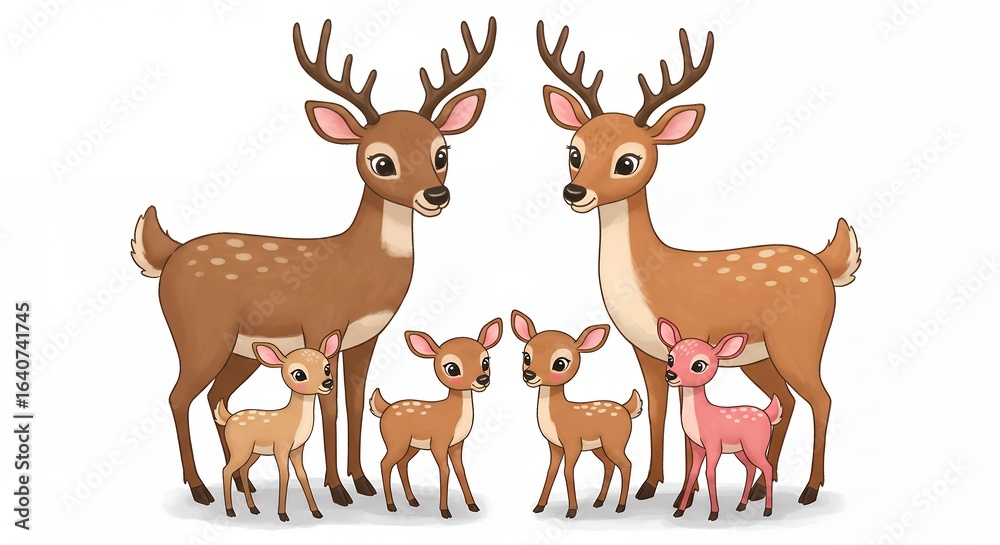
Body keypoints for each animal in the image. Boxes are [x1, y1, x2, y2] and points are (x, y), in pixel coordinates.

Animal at [215, 330, 340, 521]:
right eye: (299, 374)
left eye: (326, 368)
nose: (328, 383)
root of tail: (228, 418)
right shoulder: (281, 446)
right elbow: (284, 475)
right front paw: (282, 514)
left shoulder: (297, 449)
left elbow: (302, 475)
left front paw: (316, 512)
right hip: (239, 448)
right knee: (226, 470)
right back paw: (230, 511)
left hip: (253, 452)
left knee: (243, 470)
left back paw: (253, 508)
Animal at [368, 318, 502, 518]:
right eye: (452, 368)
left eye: (485, 361)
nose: (482, 379)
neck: (453, 415)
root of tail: (385, 409)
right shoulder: (439, 441)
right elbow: (445, 470)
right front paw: (445, 511)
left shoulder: (456, 444)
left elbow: (460, 470)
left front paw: (472, 505)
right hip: (396, 440)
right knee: (385, 463)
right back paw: (391, 506)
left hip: (411, 445)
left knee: (401, 464)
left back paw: (412, 500)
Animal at [511, 310, 643, 519]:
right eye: (526, 356)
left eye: (560, 363)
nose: (529, 375)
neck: (558, 416)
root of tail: (626, 409)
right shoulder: (555, 445)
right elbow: (551, 472)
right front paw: (539, 506)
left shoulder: (572, 442)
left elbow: (568, 471)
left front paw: (572, 510)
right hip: (600, 446)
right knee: (609, 465)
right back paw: (599, 501)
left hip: (615, 441)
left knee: (626, 464)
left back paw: (620, 506)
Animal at [657, 318, 781, 521]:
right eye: (671, 358)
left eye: (699, 365)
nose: (670, 375)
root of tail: (767, 414)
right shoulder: (697, 445)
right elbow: (693, 473)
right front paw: (679, 511)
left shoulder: (713, 443)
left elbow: (710, 473)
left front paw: (714, 513)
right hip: (741, 450)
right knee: (751, 468)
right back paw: (741, 505)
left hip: (756, 445)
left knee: (767, 467)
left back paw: (767, 510)